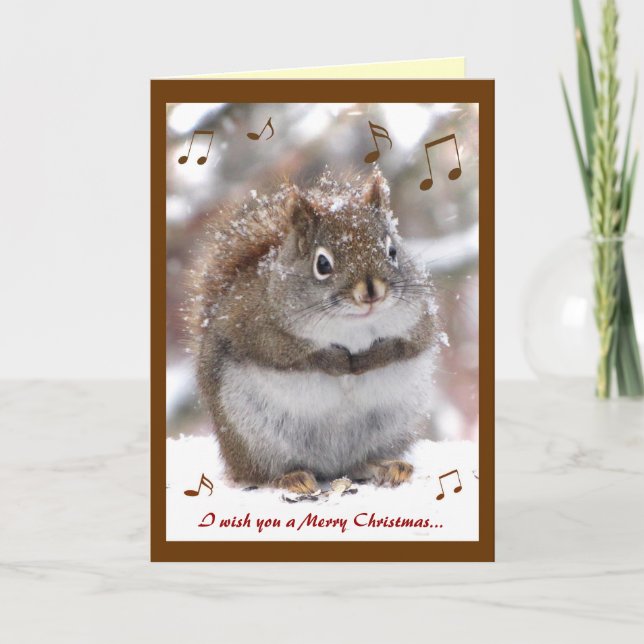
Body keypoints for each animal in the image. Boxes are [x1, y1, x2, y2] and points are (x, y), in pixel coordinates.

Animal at [190, 169, 439, 494]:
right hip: (251, 432)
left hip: (392, 426)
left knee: (359, 462)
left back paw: (388, 466)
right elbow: (291, 355)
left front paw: (369, 359)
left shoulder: (420, 320)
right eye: (322, 263)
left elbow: (407, 346)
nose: (371, 291)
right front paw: (337, 361)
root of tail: (330, 466)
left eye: (392, 251)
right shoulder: (255, 327)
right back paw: (290, 477)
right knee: (260, 472)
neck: (353, 325)